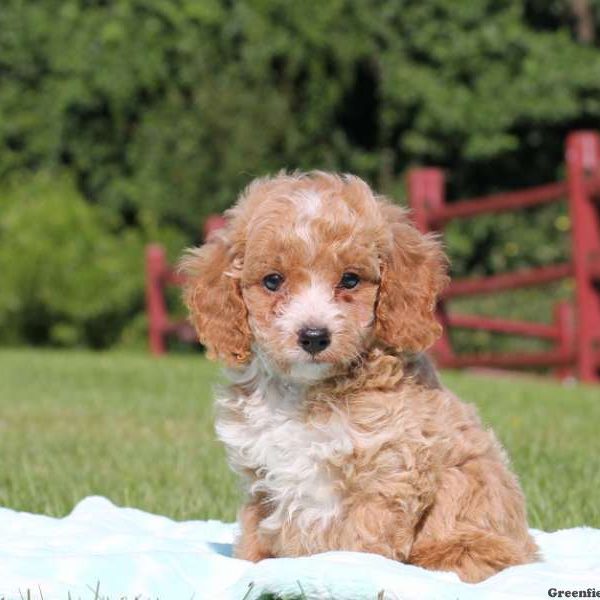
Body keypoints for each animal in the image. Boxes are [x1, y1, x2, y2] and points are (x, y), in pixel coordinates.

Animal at [179, 172, 540, 580]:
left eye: (350, 280)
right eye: (273, 281)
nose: (314, 336)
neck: (305, 392)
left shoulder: (386, 477)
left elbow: (359, 548)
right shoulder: (262, 483)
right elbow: (254, 544)